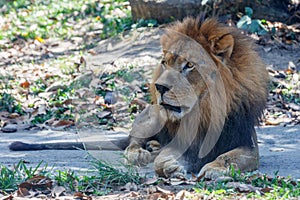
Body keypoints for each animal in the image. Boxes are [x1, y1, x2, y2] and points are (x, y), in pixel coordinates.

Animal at [123, 17, 268, 180]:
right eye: (164, 63)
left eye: (189, 65)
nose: (159, 87)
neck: (206, 111)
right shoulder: (188, 144)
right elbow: (161, 159)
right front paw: (168, 165)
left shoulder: (248, 145)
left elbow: (228, 157)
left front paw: (214, 168)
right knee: (134, 138)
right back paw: (138, 152)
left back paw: (153, 146)